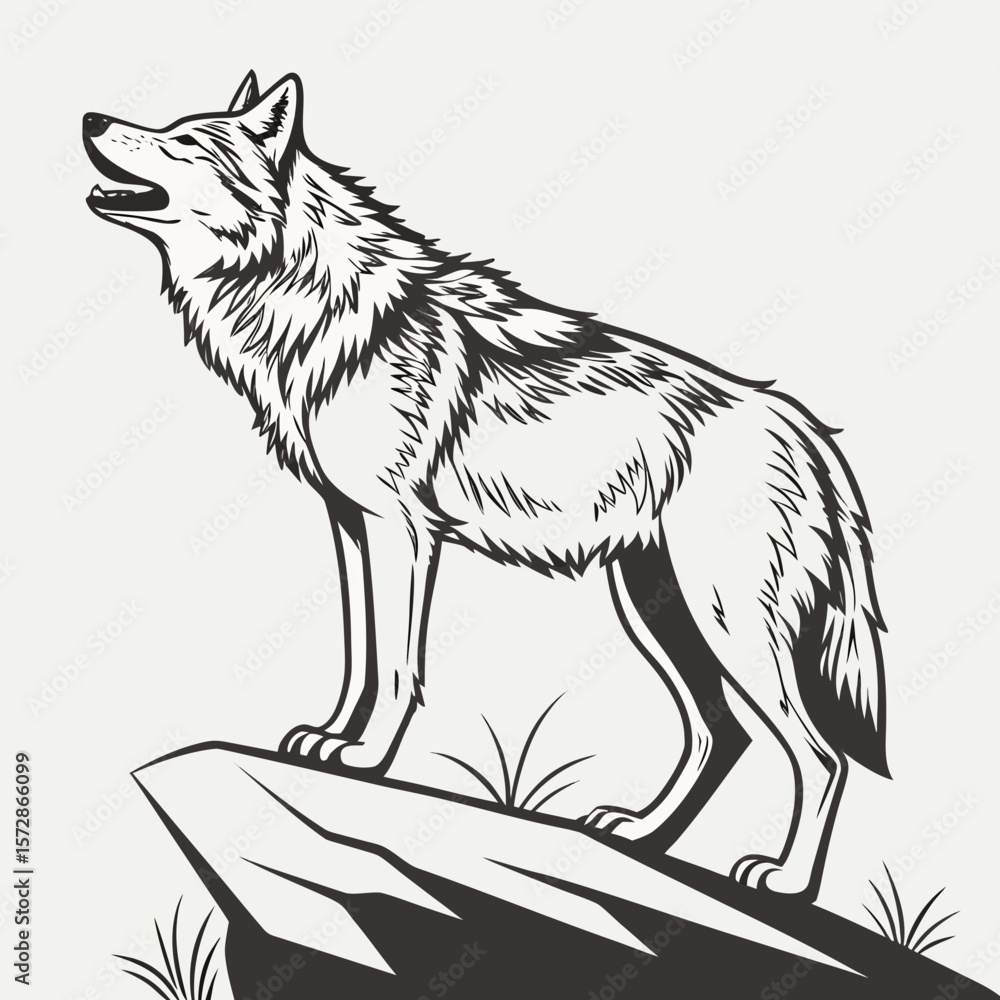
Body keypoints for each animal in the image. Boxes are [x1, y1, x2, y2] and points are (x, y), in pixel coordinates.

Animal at [84, 71, 888, 900]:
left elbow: (397, 666)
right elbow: (358, 657)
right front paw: (329, 738)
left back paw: (785, 880)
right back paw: (642, 834)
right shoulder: (350, 524)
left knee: (821, 755)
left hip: (726, 623)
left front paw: (368, 760)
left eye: (183, 140)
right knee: (720, 733)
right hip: (656, 608)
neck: (314, 308)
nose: (91, 118)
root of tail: (803, 427)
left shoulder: (403, 530)